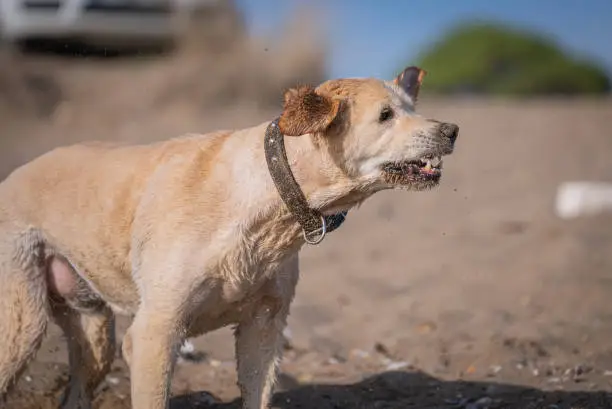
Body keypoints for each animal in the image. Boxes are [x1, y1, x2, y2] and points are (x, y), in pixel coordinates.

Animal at [0, 67, 460, 408]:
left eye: (412, 108)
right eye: (385, 115)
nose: (452, 130)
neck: (269, 199)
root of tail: (13, 176)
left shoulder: (265, 328)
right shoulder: (155, 332)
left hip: (92, 327)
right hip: (23, 321)